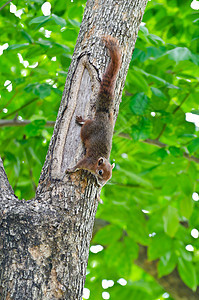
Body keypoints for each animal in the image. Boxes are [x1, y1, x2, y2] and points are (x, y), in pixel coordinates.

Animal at [67, 35, 121, 185]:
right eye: (101, 172)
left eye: (110, 177)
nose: (102, 183)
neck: (96, 161)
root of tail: (103, 116)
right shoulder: (87, 162)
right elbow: (78, 165)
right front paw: (71, 169)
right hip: (88, 128)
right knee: (86, 123)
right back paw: (81, 120)